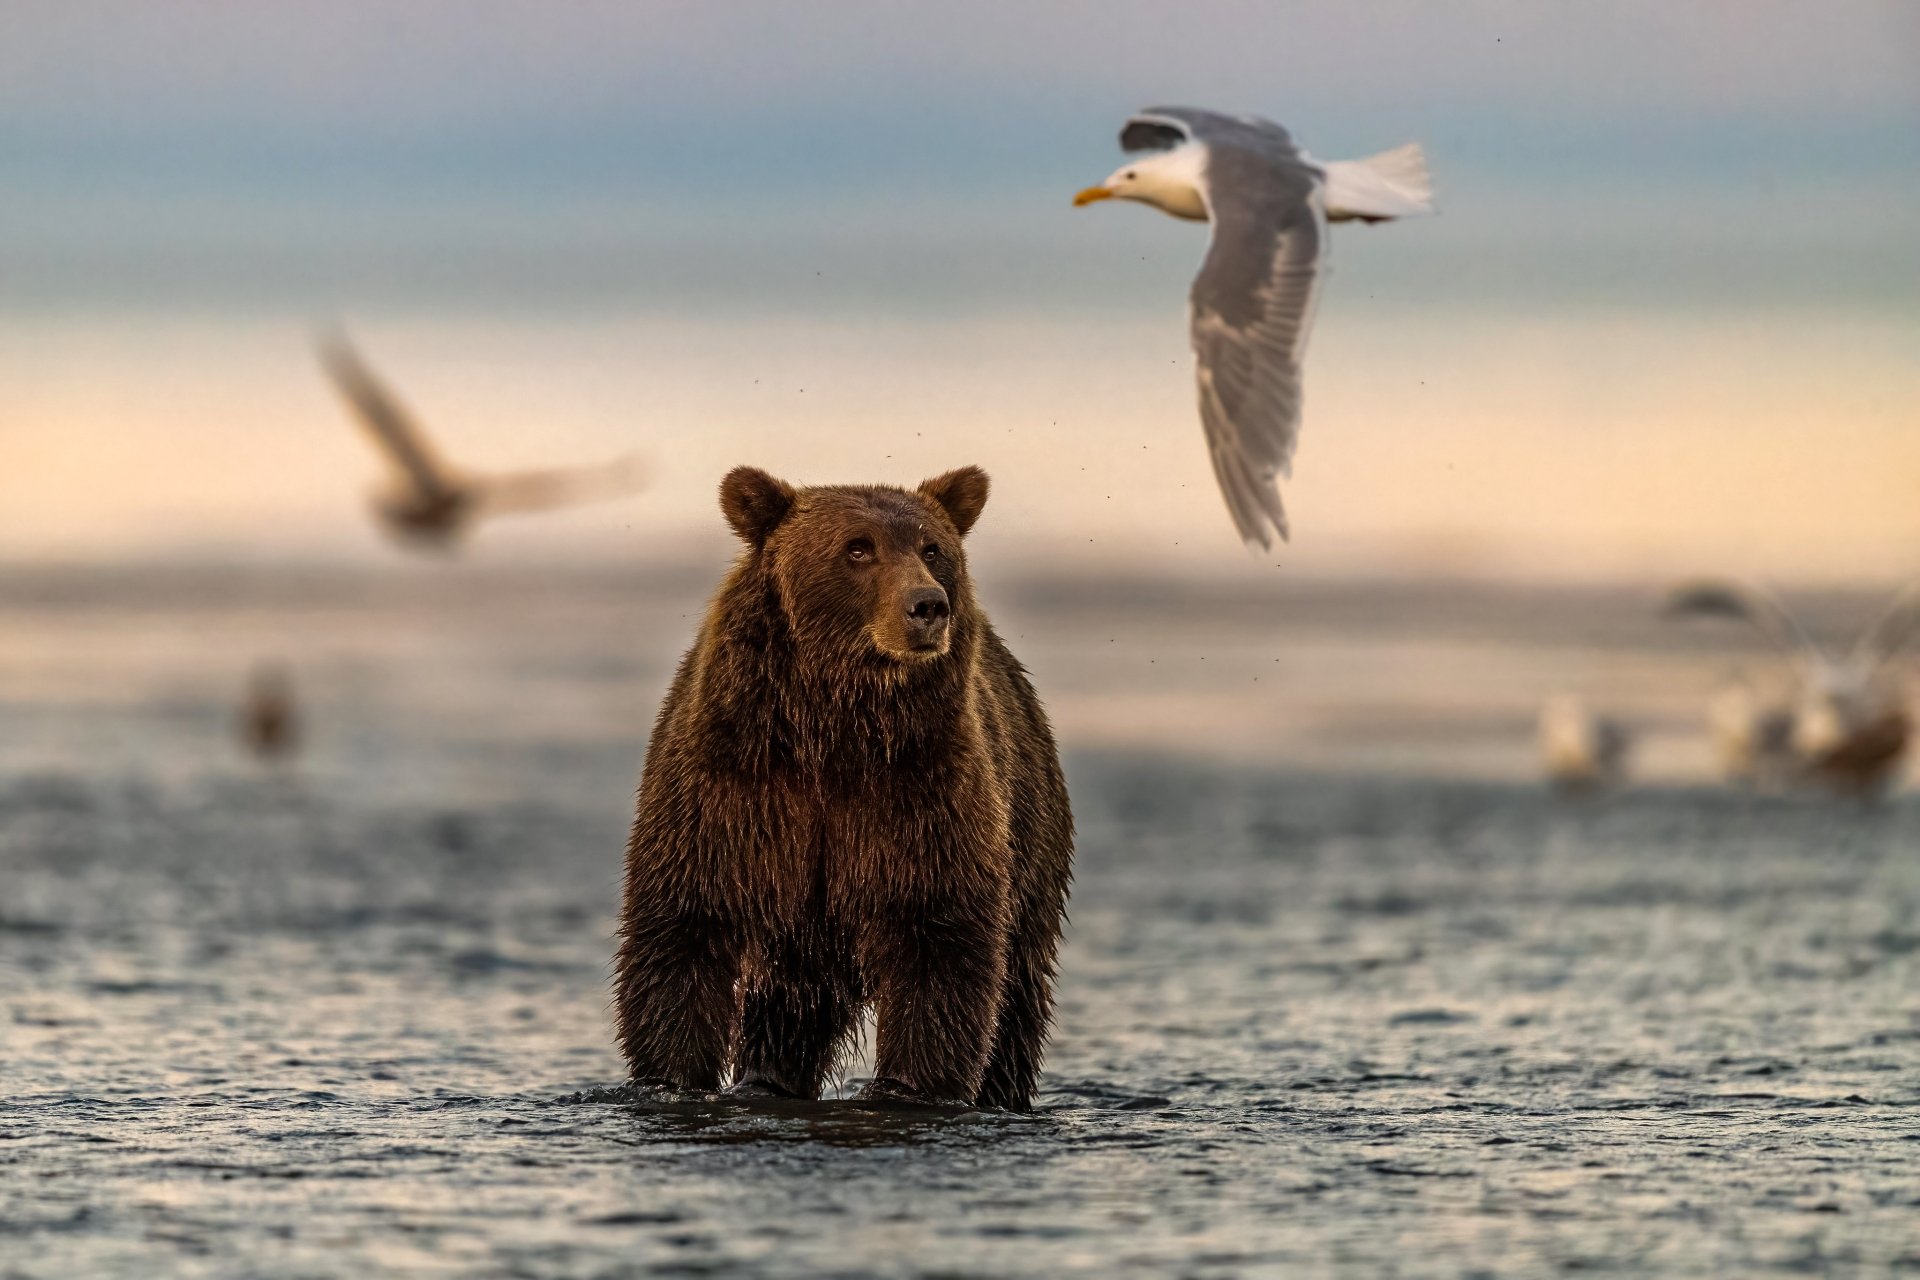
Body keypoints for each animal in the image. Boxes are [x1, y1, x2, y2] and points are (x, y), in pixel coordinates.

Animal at [612, 465, 1074, 1110]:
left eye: (933, 548)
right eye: (858, 548)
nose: (927, 605)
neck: (833, 729)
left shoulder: (920, 791)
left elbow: (940, 939)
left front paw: (910, 1086)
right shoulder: (731, 787)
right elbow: (685, 926)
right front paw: (668, 1078)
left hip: (1030, 836)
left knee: (1017, 993)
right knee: (791, 1007)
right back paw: (768, 1077)